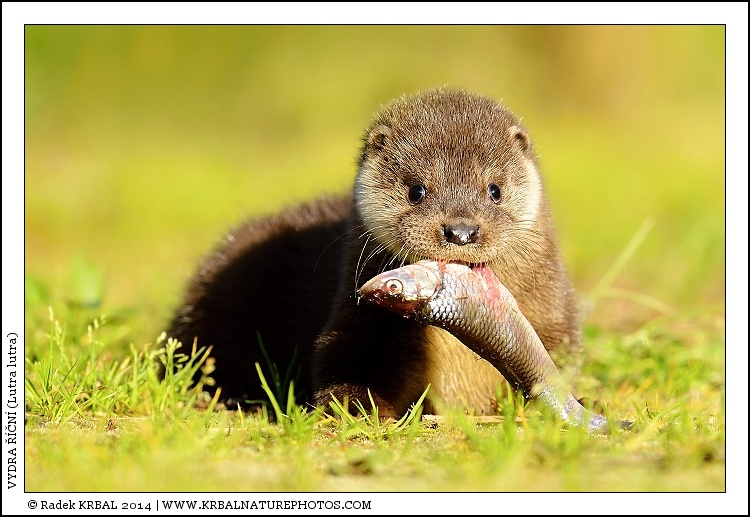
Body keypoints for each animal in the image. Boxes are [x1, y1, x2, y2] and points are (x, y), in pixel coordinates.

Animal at [167, 88, 580, 419]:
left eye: (494, 189)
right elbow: (349, 362)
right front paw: (358, 410)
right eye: (417, 190)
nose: (460, 230)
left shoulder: (553, 314)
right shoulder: (358, 320)